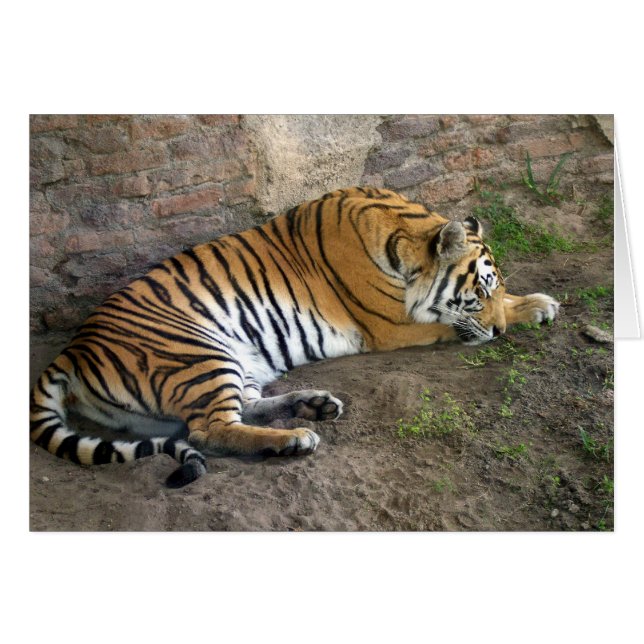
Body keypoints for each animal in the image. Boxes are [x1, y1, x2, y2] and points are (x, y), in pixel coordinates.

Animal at [30, 187, 559, 488]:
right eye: (479, 292)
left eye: (495, 286)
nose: (499, 331)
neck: (402, 231)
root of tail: (72, 350)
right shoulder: (389, 325)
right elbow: (449, 324)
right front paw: (517, 315)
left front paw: (537, 304)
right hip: (198, 353)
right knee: (208, 430)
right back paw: (295, 438)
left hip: (235, 360)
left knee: (241, 408)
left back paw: (315, 406)